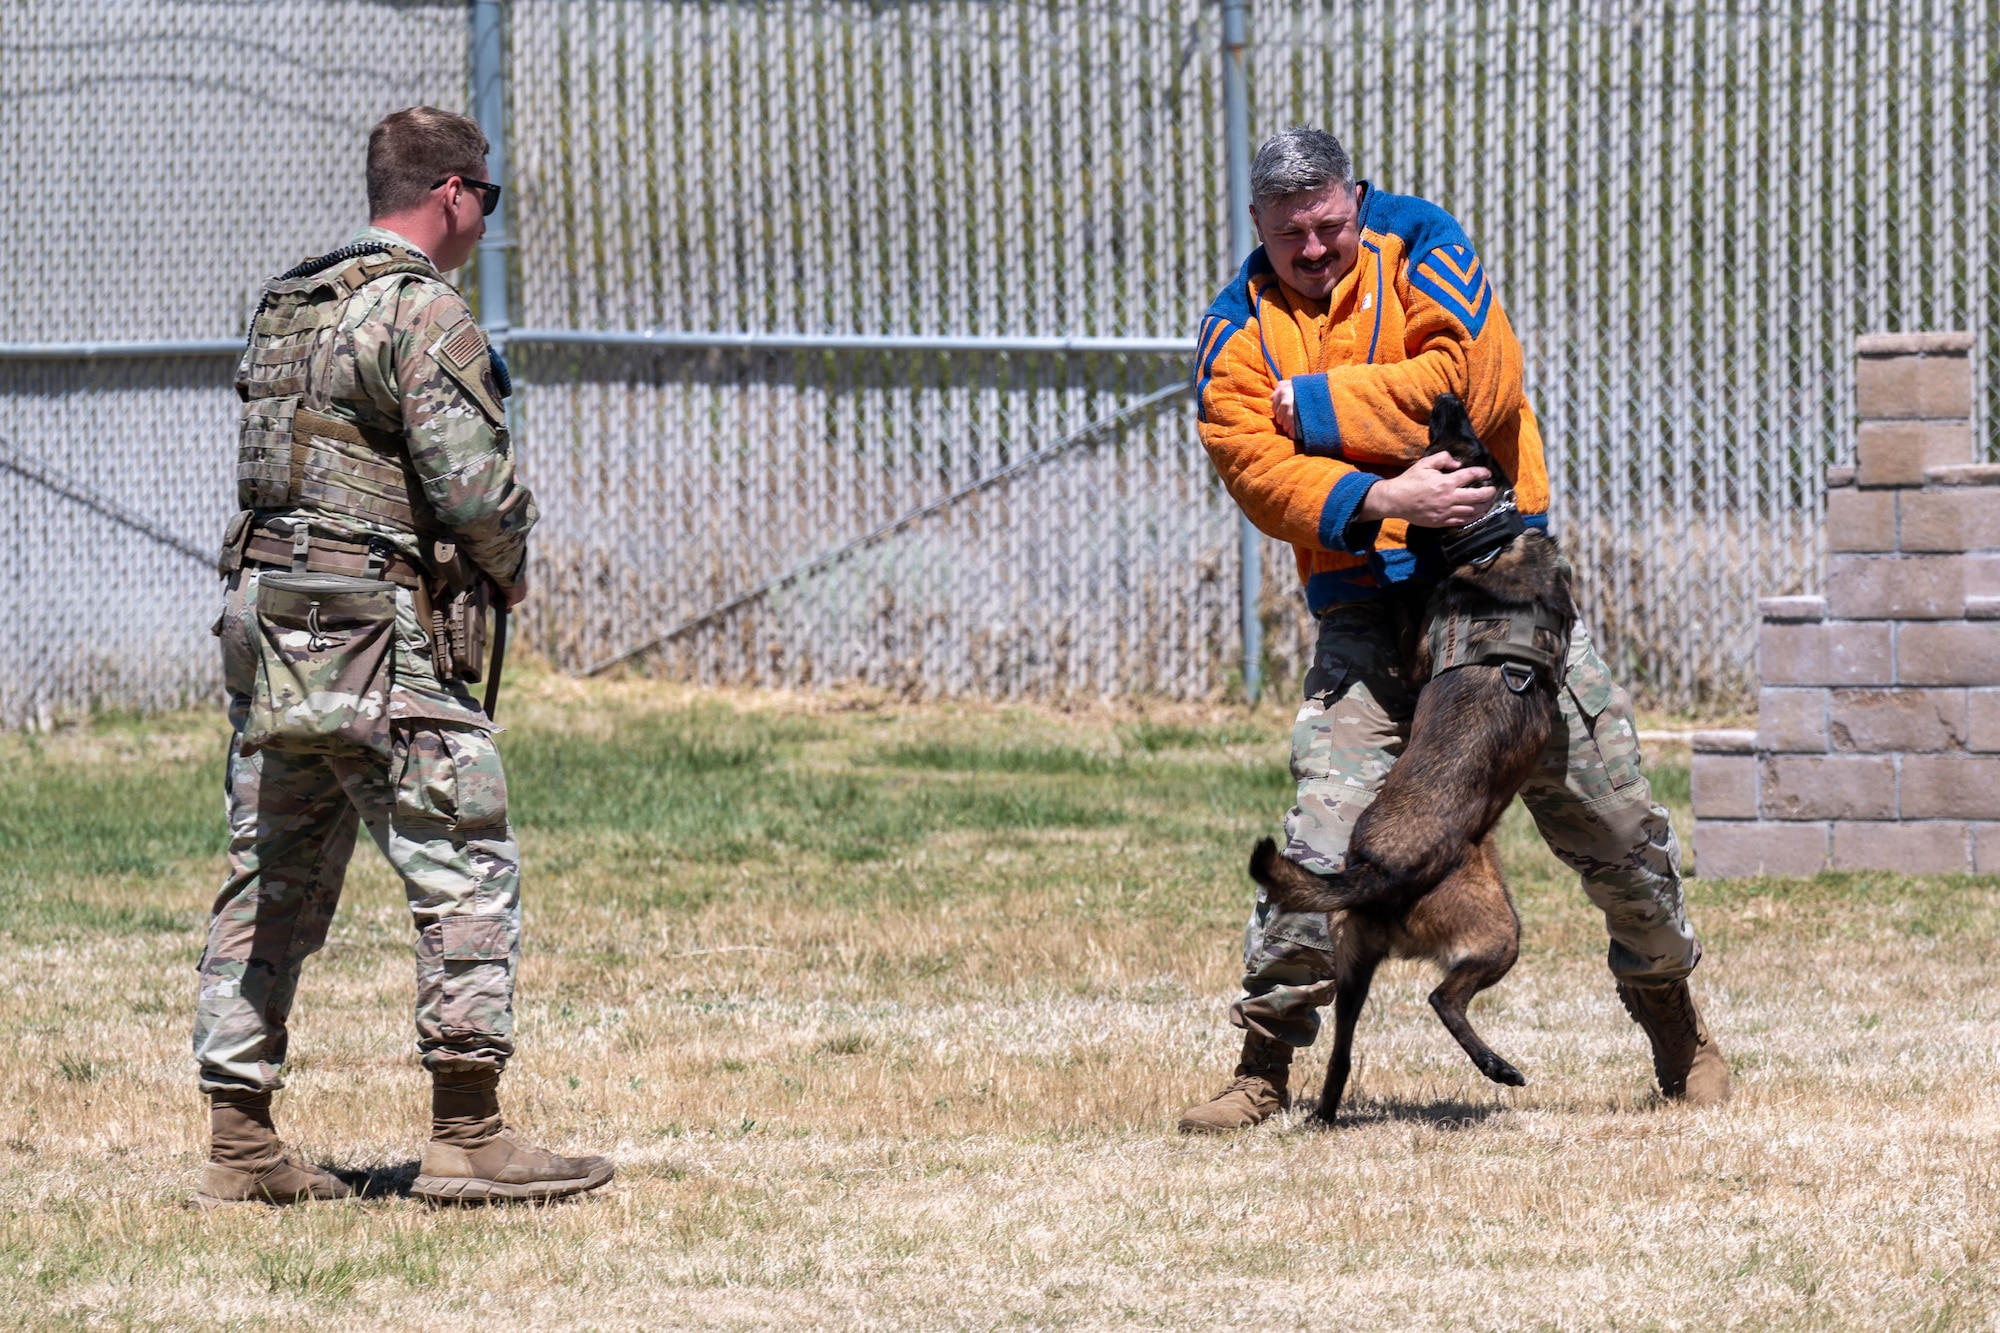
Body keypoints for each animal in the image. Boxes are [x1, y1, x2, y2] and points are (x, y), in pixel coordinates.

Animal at [1256, 390, 1568, 1112]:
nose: (1448, 395)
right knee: (1414, 1012)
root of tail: (1379, 870)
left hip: (1407, 954)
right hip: (1461, 942)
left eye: (1462, 436)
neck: (1489, 539)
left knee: (1378, 1031)